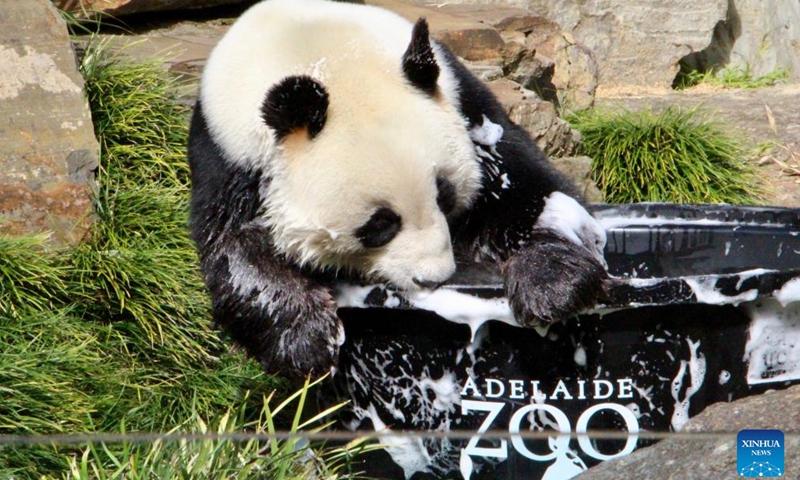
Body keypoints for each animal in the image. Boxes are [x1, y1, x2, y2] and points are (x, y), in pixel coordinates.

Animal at [191, 0, 608, 378]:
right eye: (379, 225)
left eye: (445, 195)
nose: (433, 279)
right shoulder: (231, 159)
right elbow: (236, 248)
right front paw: (307, 339)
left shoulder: (465, 103)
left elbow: (520, 188)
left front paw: (552, 284)